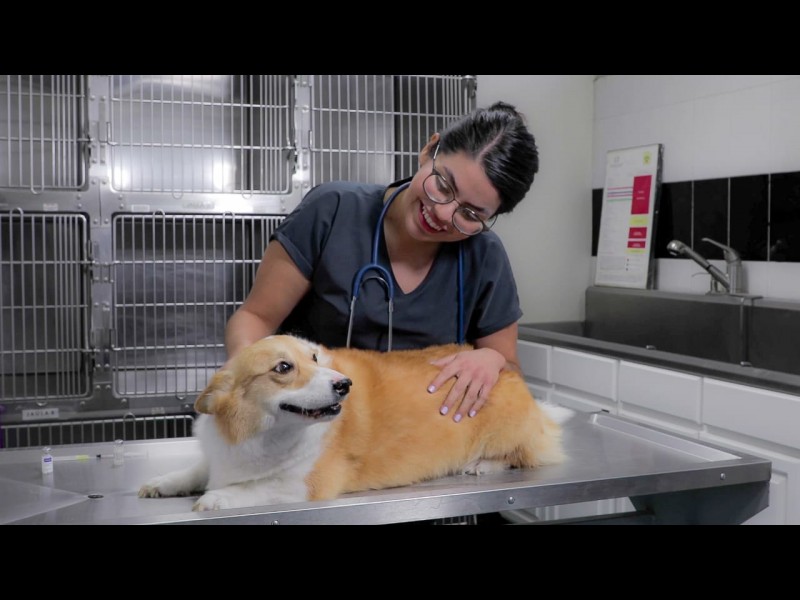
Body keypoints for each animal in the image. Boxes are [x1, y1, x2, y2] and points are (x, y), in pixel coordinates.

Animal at [139, 334, 572, 511]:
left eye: (315, 358)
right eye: (283, 367)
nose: (344, 385)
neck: (263, 435)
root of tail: (504, 370)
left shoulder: (306, 485)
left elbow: (253, 489)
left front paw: (216, 499)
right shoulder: (217, 457)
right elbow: (194, 470)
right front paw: (161, 484)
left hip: (510, 432)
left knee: (525, 454)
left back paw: (482, 464)